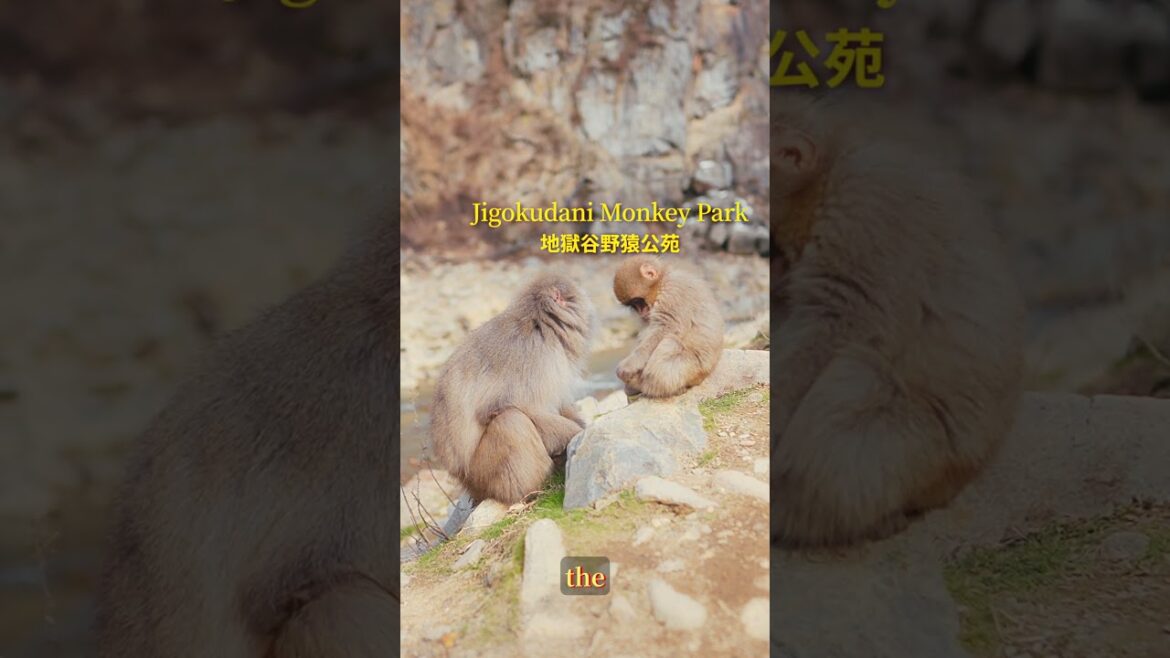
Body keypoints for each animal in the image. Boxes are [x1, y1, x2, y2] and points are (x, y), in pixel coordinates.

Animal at [429, 272, 595, 505]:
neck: (540, 324)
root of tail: (467, 485)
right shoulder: (535, 356)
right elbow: (514, 406)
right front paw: (576, 433)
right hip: (484, 474)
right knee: (511, 421)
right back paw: (533, 490)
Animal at [612, 255, 724, 398]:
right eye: (633, 305)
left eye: (638, 301)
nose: (641, 312)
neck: (663, 281)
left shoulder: (673, 290)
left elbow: (667, 327)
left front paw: (629, 366)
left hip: (693, 368)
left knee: (670, 341)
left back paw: (647, 385)